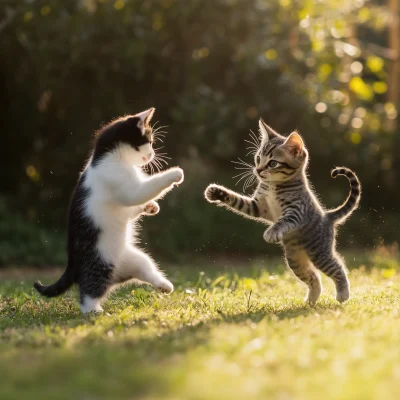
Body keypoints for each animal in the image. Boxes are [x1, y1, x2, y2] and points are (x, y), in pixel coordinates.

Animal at [34, 108, 184, 312]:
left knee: (145, 268)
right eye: (149, 141)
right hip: (99, 262)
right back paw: (93, 310)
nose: (153, 154)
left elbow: (132, 208)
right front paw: (175, 173)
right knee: (90, 290)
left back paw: (164, 286)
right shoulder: (120, 183)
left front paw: (151, 206)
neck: (106, 158)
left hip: (133, 257)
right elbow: (141, 191)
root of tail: (72, 264)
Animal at [205, 119, 360, 304]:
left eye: (273, 163)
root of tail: (327, 216)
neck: (273, 185)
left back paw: (343, 293)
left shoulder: (297, 210)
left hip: (319, 252)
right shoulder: (257, 206)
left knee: (338, 267)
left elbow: (284, 220)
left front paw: (272, 232)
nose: (258, 170)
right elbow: (238, 200)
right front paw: (216, 192)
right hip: (295, 259)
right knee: (314, 277)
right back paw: (311, 300)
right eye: (258, 158)